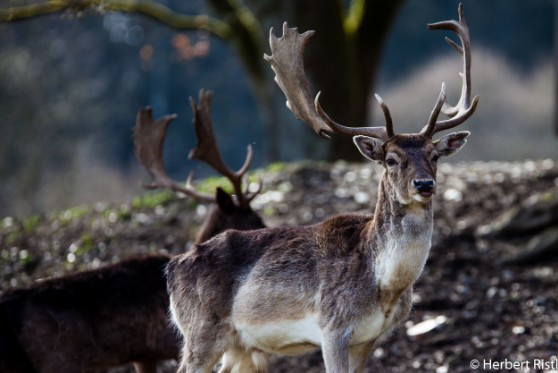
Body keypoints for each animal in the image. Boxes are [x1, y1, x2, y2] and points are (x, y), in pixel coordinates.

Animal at [167, 3, 482, 372]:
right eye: (391, 159)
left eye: (434, 155)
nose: (425, 183)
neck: (385, 287)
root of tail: (172, 268)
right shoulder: (332, 327)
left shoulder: (369, 338)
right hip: (200, 333)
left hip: (242, 349)